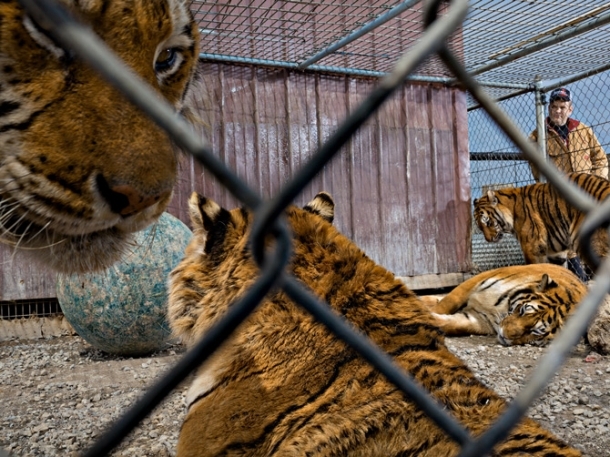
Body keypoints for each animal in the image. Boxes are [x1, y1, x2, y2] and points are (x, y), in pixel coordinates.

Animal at [420, 264, 588, 346]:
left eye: (535, 331)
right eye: (522, 310)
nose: (504, 334)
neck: (501, 310)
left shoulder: (480, 320)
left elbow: (451, 324)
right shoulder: (476, 281)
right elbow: (446, 303)